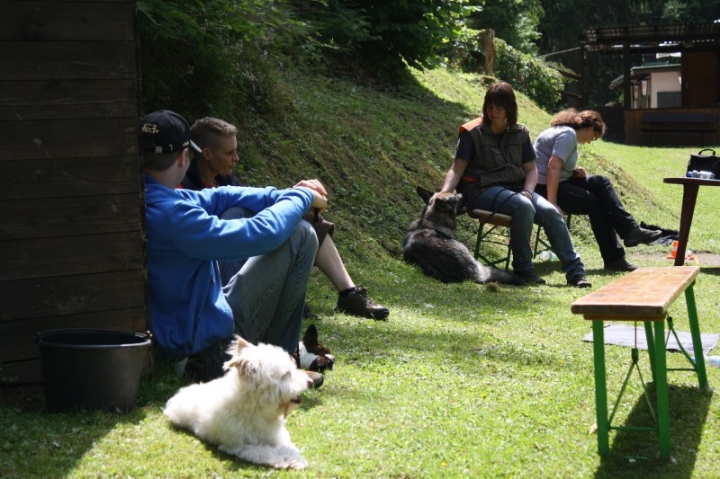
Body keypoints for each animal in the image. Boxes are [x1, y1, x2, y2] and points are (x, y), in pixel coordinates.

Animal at [165, 336, 314, 470]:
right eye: (286, 373)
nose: (310, 382)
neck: (258, 409)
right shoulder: (238, 446)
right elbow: (263, 451)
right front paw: (279, 460)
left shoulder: (276, 436)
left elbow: (287, 447)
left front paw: (297, 459)